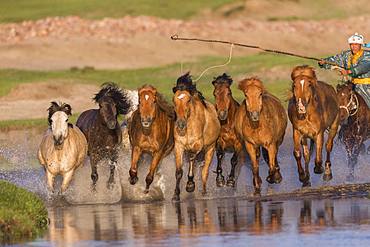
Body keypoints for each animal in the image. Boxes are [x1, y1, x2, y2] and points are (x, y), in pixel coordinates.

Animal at [172, 72, 221, 202]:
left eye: (188, 100)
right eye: (174, 100)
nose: (180, 124)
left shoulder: (198, 145)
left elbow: (192, 158)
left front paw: (190, 185)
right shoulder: (178, 146)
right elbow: (179, 171)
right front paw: (175, 195)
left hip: (210, 149)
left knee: (204, 172)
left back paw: (203, 193)